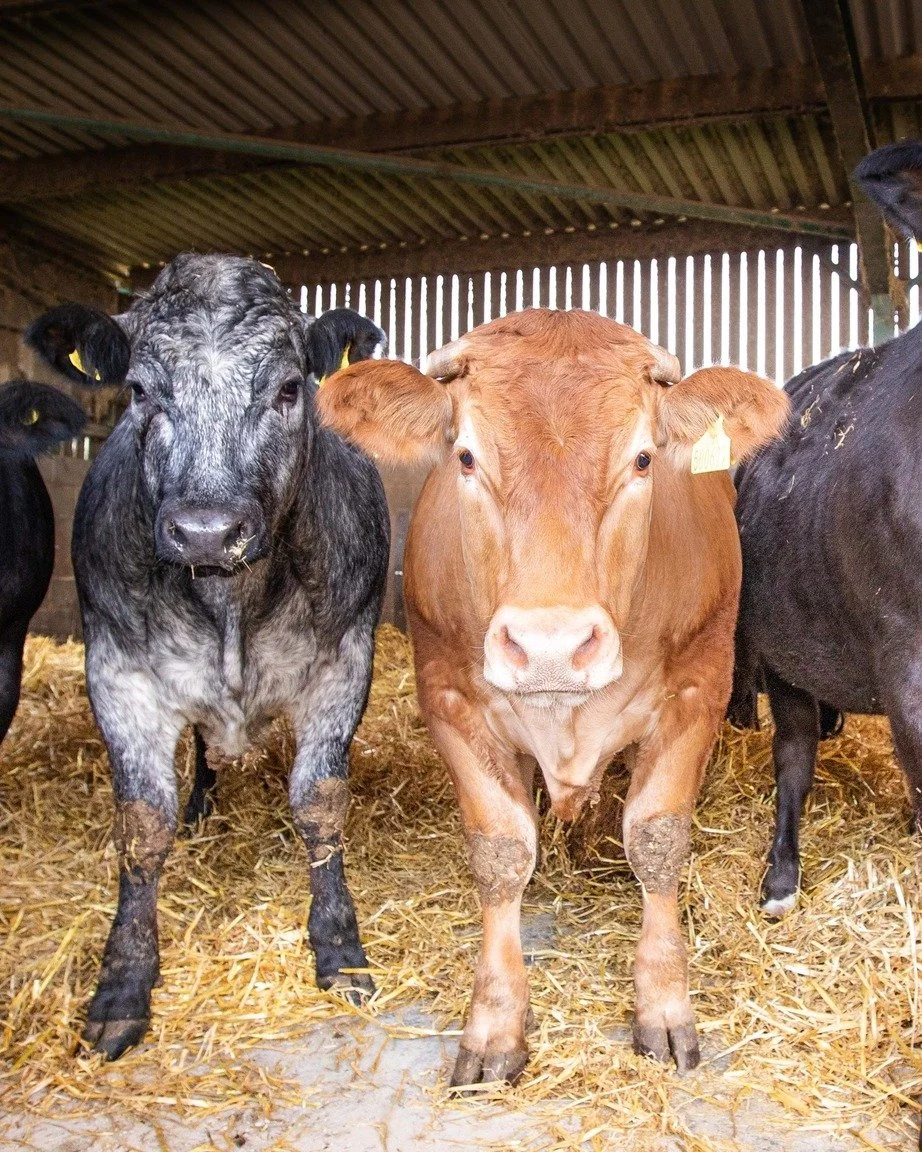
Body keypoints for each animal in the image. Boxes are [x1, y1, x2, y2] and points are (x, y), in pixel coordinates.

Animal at [25, 254, 390, 1060]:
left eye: (288, 388)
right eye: (139, 390)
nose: (205, 530)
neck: (230, 603)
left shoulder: (343, 663)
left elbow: (319, 803)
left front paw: (339, 948)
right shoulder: (118, 674)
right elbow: (142, 824)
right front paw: (123, 983)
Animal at [316, 308, 788, 1084]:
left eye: (643, 460)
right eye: (466, 457)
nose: (549, 645)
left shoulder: (700, 687)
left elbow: (657, 838)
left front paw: (663, 1007)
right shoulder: (447, 694)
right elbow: (501, 851)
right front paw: (495, 1025)